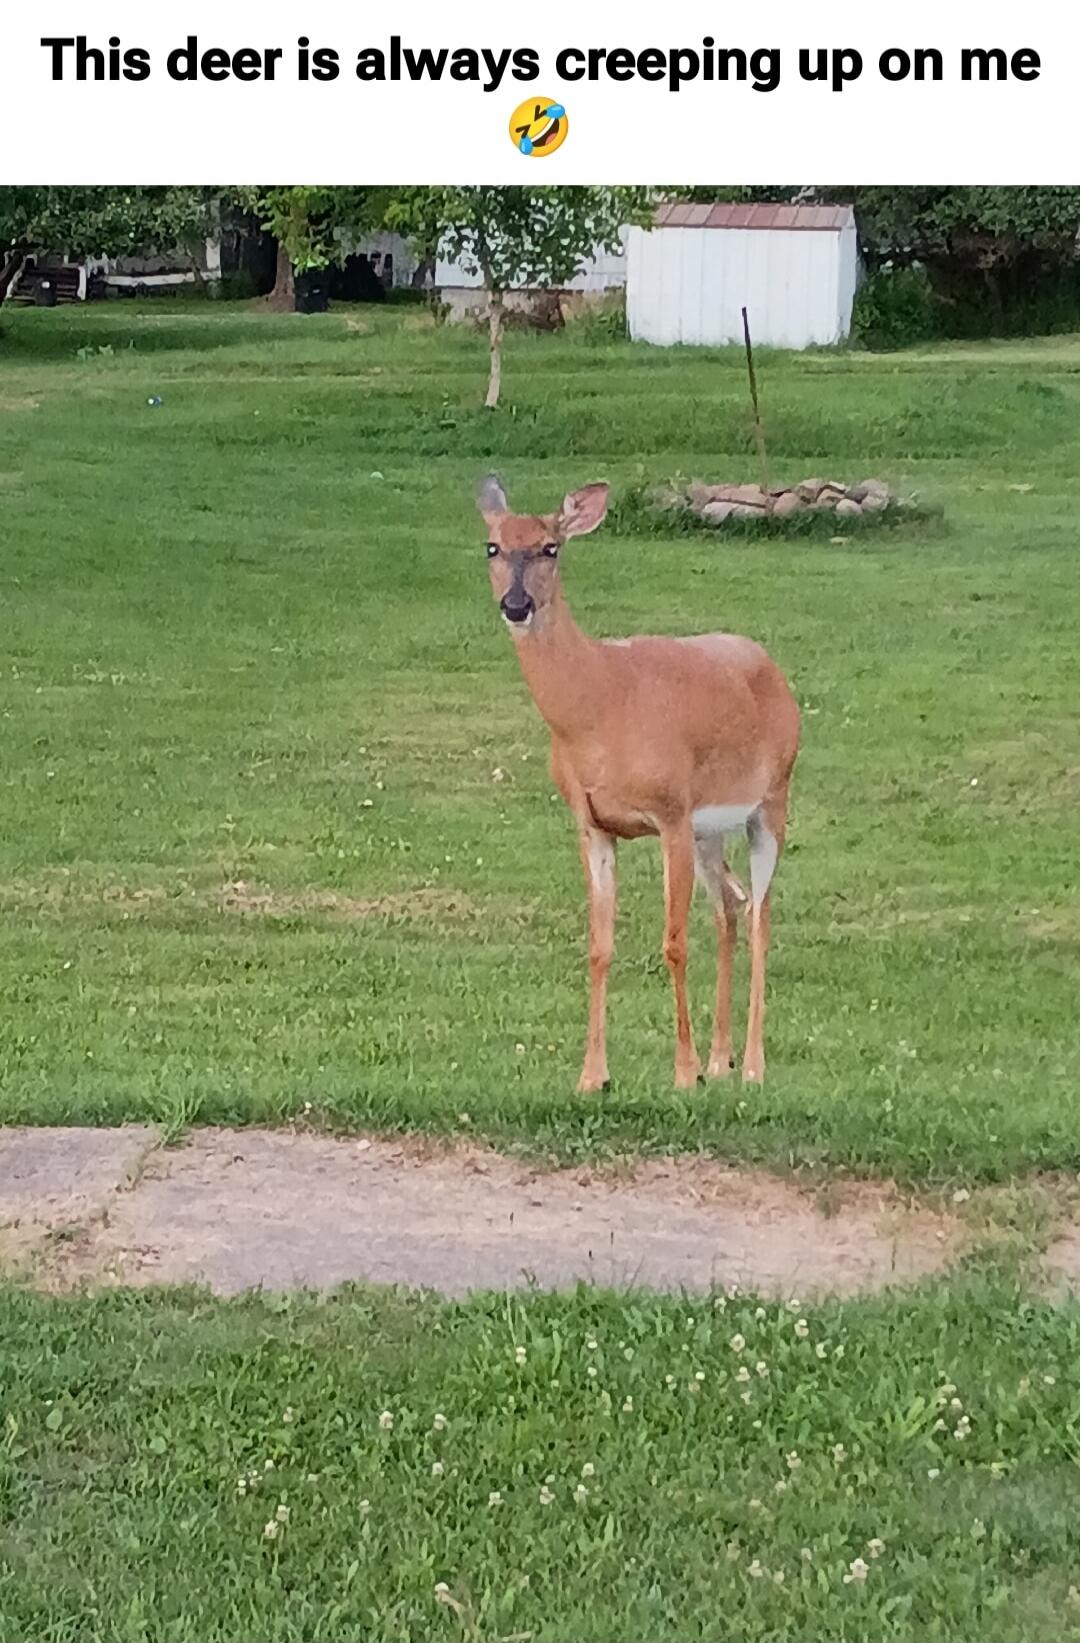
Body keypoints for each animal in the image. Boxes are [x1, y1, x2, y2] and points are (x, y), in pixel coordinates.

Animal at [478, 474, 801, 1093]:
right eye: (493, 547)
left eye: (551, 547)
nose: (517, 605)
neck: (599, 709)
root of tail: (772, 667)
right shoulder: (593, 824)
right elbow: (599, 947)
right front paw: (592, 1076)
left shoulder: (670, 812)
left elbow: (673, 943)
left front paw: (684, 1072)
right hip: (710, 828)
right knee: (729, 906)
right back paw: (722, 1059)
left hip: (772, 797)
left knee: (760, 915)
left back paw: (750, 1065)